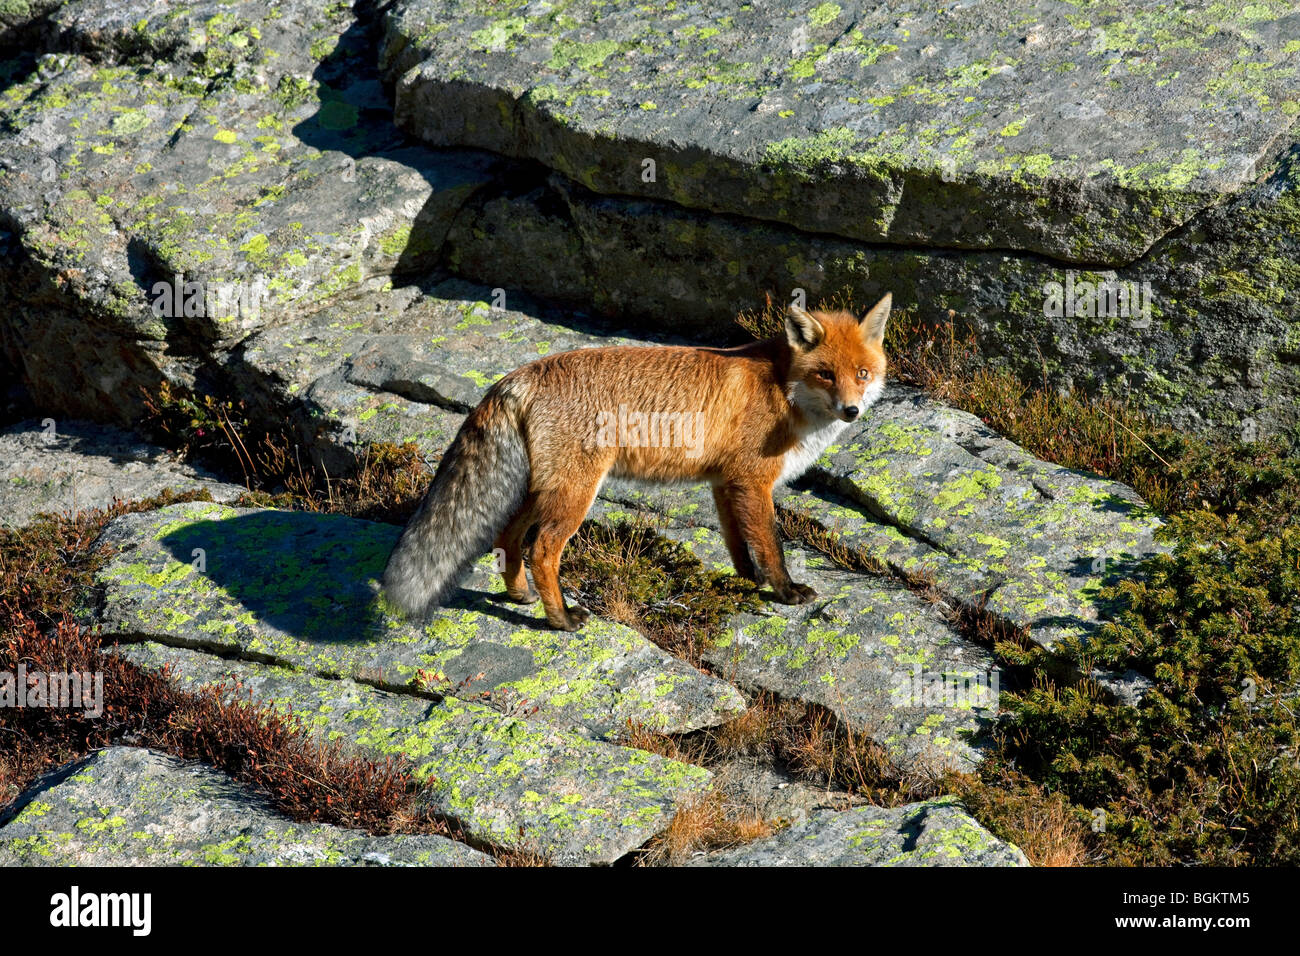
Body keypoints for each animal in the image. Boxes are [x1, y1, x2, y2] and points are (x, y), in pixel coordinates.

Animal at [382, 293, 892, 631]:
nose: (852, 411)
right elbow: (770, 546)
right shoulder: (752, 482)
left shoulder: (725, 484)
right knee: (541, 550)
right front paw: (785, 592)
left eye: (862, 374)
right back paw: (560, 618)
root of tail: (519, 374)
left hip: (540, 490)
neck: (783, 390)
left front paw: (747, 586)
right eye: (825, 374)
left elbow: (739, 548)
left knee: (507, 539)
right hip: (574, 495)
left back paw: (520, 596)